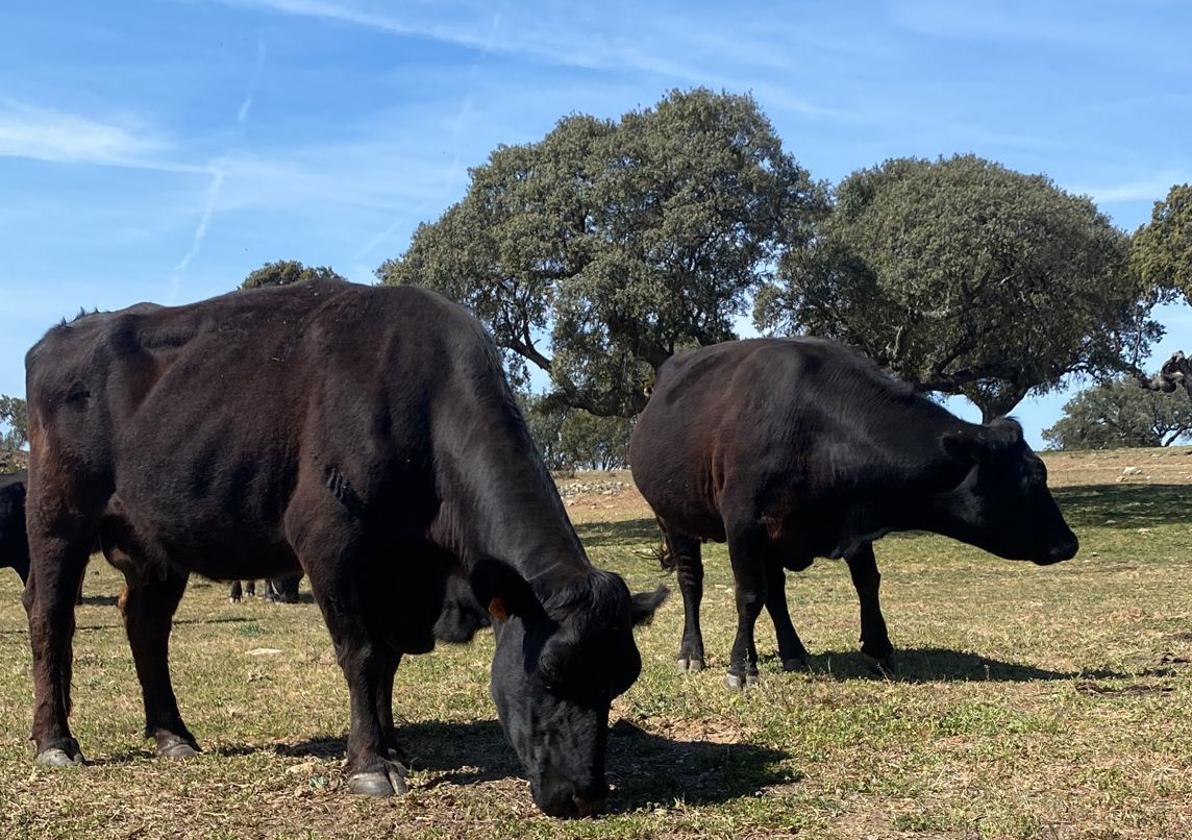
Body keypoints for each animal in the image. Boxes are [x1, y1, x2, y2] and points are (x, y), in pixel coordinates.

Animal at [21, 280, 662, 810]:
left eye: (621, 681)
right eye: (550, 674)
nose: (583, 795)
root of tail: (63, 333)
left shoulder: (394, 577)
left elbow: (388, 664)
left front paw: (392, 747)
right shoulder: (329, 538)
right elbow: (363, 654)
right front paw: (371, 766)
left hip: (155, 543)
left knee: (146, 625)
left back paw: (172, 735)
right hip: (57, 517)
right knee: (50, 616)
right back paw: (56, 742)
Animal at [634, 338, 1082, 686]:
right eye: (1034, 476)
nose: (1069, 544)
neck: (815, 429)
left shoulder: (854, 520)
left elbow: (867, 582)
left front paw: (880, 648)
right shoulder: (743, 521)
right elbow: (748, 593)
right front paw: (740, 667)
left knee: (776, 591)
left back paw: (791, 652)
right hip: (673, 518)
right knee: (693, 583)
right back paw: (693, 653)